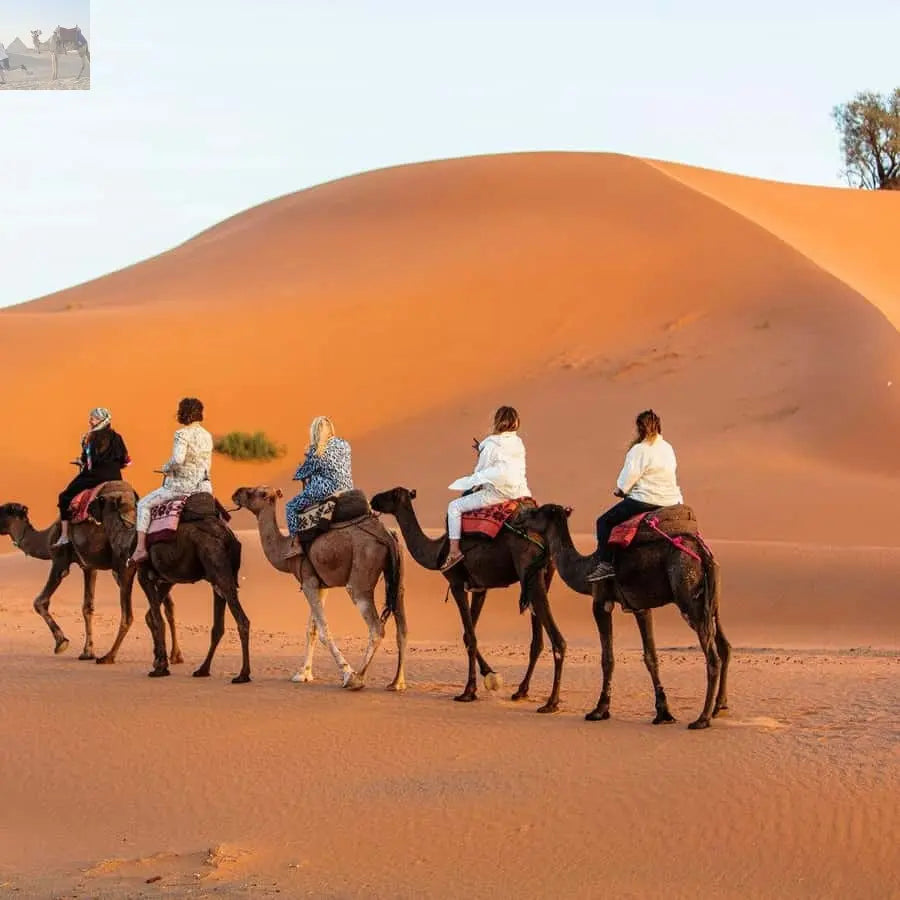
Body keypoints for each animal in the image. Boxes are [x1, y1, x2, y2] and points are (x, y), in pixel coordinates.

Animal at [0, 485, 182, 666]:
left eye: (1, 510)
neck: (47, 539)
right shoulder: (88, 566)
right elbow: (87, 607)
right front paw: (87, 652)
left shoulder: (60, 560)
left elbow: (40, 602)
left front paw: (61, 642)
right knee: (168, 606)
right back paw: (174, 655)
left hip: (124, 567)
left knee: (129, 614)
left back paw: (111, 656)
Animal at [90, 487, 250, 682]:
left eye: (99, 500)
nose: (88, 507)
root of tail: (229, 537)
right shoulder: (166, 580)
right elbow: (150, 616)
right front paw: (160, 661)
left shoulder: (144, 575)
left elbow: (156, 619)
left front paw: (160, 667)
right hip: (217, 579)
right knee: (218, 626)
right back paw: (202, 669)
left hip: (219, 570)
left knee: (242, 620)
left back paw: (243, 674)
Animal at [230, 486, 407, 691]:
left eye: (256, 492)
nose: (236, 492)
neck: (284, 552)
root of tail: (387, 536)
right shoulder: (320, 584)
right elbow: (311, 630)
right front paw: (303, 674)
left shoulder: (308, 581)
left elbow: (323, 630)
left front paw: (347, 674)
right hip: (396, 578)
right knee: (402, 628)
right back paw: (397, 682)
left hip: (360, 576)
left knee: (376, 627)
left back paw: (357, 678)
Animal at [369, 487, 565, 712]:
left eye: (390, 494)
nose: (373, 500)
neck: (438, 549)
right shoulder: (480, 588)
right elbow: (467, 634)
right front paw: (490, 675)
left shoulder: (456, 583)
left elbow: (470, 637)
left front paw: (468, 691)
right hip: (542, 574)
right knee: (538, 640)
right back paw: (521, 691)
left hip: (530, 572)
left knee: (557, 640)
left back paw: (551, 703)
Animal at [516, 504, 731, 730]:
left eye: (535, 512)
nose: (519, 516)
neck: (585, 568)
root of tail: (703, 555)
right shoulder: (640, 607)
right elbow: (650, 657)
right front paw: (663, 713)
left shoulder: (601, 601)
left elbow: (607, 658)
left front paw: (599, 710)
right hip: (711, 603)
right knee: (724, 646)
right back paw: (719, 707)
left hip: (688, 595)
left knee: (712, 657)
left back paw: (702, 719)